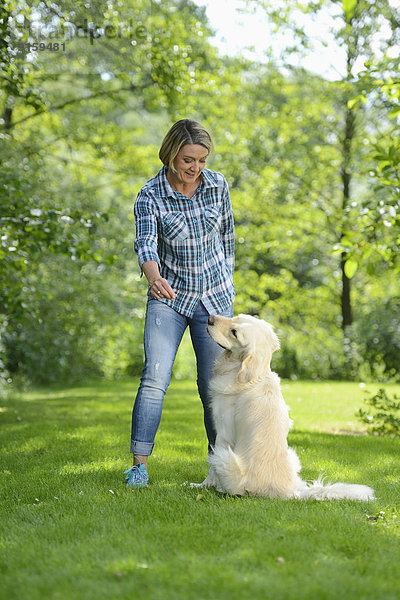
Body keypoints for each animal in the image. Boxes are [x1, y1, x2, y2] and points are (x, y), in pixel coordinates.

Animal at [192, 314, 374, 502]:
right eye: (236, 317)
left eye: (234, 333)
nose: (210, 318)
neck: (254, 376)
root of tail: (292, 492)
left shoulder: (223, 434)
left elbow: (211, 471)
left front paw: (202, 486)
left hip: (226, 459)